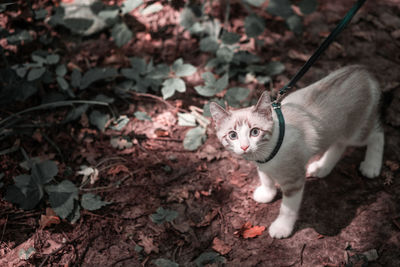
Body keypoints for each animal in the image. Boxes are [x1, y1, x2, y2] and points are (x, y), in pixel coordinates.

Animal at [211, 66, 382, 240]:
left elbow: (287, 208)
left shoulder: (294, 179)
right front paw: (267, 193)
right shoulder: (262, 164)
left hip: (356, 132)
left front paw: (282, 227)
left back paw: (372, 166)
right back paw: (322, 167)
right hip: (339, 130)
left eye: (255, 132)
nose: (245, 147)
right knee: (339, 144)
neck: (265, 153)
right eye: (233, 135)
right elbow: (266, 178)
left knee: (377, 134)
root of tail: (361, 70)